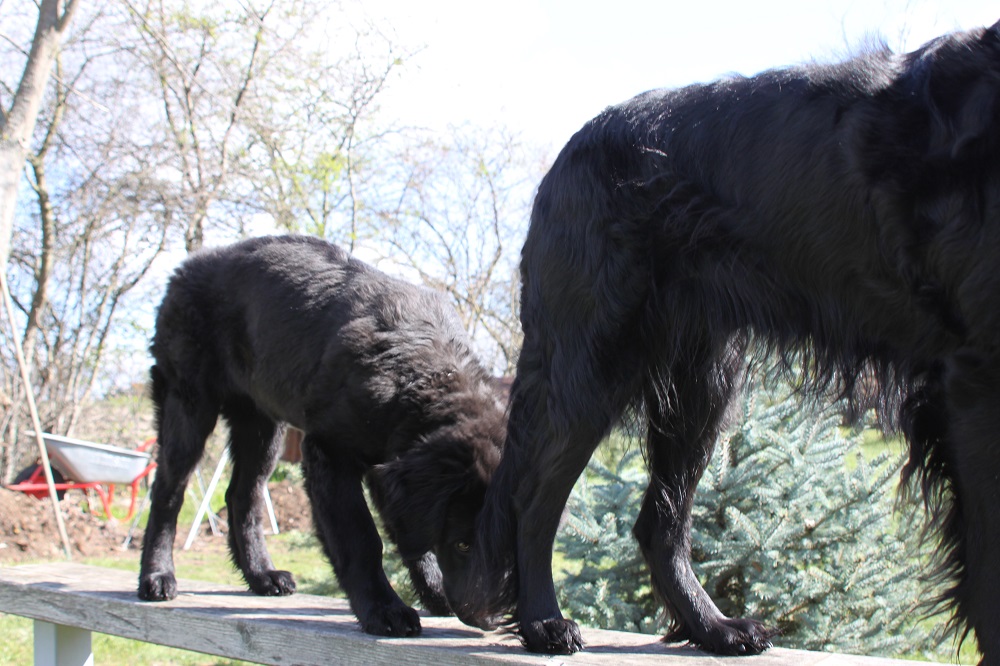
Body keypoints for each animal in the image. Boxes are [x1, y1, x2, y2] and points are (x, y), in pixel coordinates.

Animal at [137, 235, 505, 637]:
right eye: (463, 544)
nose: (490, 620)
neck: (419, 371)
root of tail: (186, 268)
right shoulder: (331, 453)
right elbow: (362, 540)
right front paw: (383, 610)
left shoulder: (386, 463)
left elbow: (411, 537)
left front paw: (433, 592)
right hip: (186, 403)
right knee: (168, 492)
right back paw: (157, 576)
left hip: (262, 424)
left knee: (241, 495)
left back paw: (261, 575)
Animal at [453, 21, 1000, 663]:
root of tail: (567, 154)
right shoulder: (974, 382)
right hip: (593, 361)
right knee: (533, 499)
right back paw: (544, 621)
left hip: (701, 384)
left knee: (657, 524)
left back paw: (711, 626)